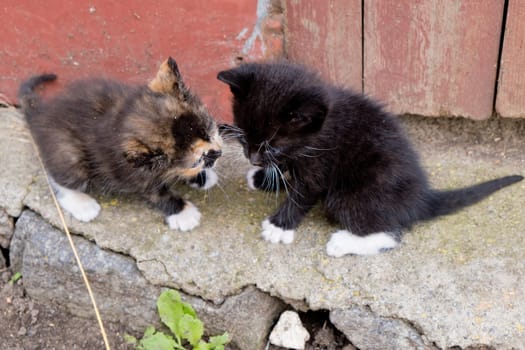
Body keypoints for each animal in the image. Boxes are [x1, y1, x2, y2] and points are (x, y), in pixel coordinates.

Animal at [19, 57, 221, 231]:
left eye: (209, 129)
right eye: (195, 161)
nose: (217, 154)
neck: (122, 120)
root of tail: (42, 114)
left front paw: (202, 177)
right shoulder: (136, 174)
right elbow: (159, 194)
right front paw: (184, 213)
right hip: (68, 154)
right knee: (58, 176)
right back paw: (82, 204)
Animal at [216, 61, 520, 256]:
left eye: (272, 147)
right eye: (244, 139)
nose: (253, 159)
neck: (320, 129)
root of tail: (420, 198)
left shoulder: (320, 163)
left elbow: (304, 192)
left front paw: (279, 225)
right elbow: (289, 171)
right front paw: (266, 178)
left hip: (351, 195)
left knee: (390, 233)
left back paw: (342, 243)